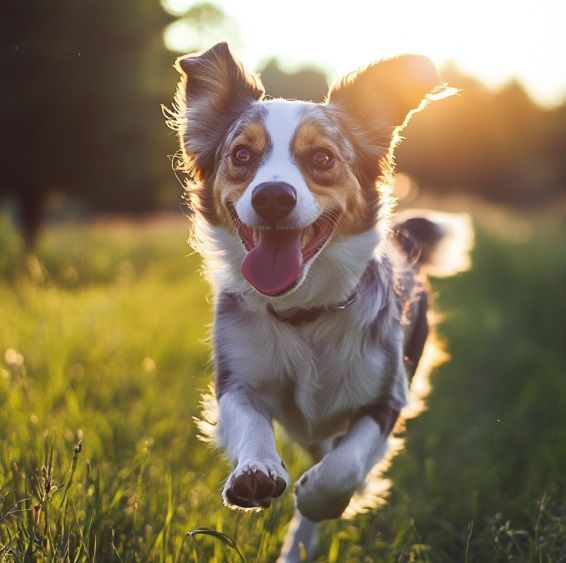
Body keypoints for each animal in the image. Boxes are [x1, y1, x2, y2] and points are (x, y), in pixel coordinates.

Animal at [170, 43, 474, 560]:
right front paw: (256, 472)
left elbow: (346, 466)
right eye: (242, 154)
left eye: (322, 158)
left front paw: (318, 495)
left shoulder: (386, 396)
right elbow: (251, 424)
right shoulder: (236, 380)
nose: (273, 197)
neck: (305, 313)